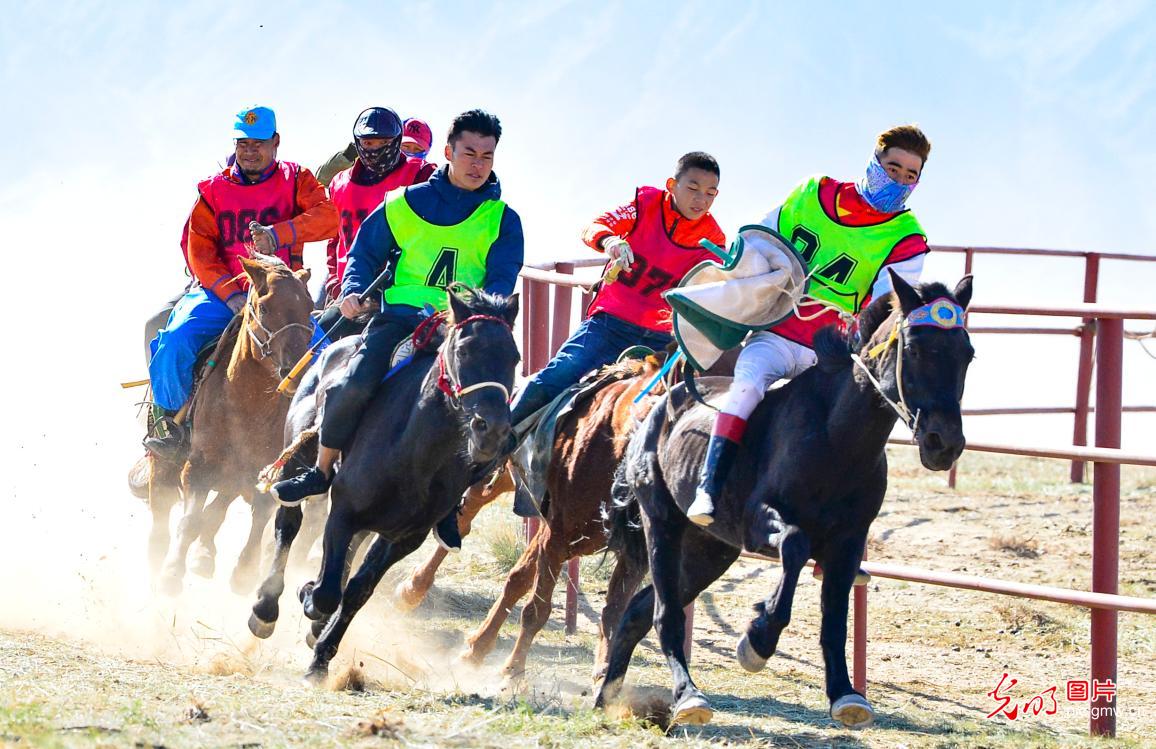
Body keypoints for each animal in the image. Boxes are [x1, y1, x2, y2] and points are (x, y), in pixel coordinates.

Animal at [156, 257, 316, 596]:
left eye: (309, 308)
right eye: (265, 307)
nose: (297, 371)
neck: (246, 405)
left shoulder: (266, 472)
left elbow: (259, 518)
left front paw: (244, 571)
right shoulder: (198, 465)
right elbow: (189, 520)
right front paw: (171, 573)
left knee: (218, 509)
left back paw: (204, 554)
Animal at [248, 286, 520, 684]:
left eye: (515, 357)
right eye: (464, 350)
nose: (494, 430)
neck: (416, 452)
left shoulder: (404, 538)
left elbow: (356, 591)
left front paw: (321, 657)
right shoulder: (343, 512)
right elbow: (328, 593)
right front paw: (309, 598)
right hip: (296, 464)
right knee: (288, 526)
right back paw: (266, 609)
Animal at [596, 271, 975, 730]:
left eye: (968, 354)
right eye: (915, 348)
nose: (944, 443)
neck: (836, 438)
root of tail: (653, 411)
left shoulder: (848, 543)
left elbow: (834, 622)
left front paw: (845, 693)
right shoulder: (760, 522)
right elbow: (794, 546)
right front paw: (757, 639)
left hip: (709, 550)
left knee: (636, 612)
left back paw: (605, 698)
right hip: (662, 525)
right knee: (664, 614)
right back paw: (688, 696)